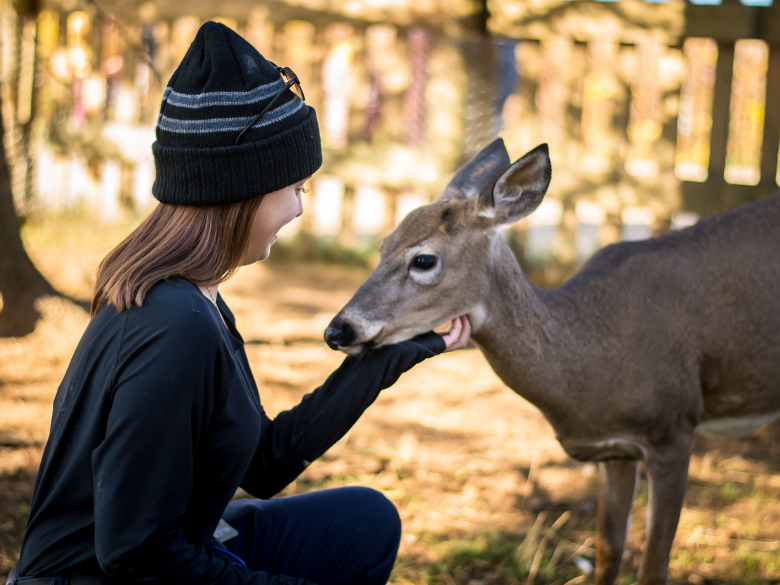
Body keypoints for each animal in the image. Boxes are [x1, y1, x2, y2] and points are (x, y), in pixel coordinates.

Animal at [320, 138, 780, 584]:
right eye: (383, 245)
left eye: (424, 259)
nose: (337, 330)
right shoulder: (616, 450)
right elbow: (608, 550)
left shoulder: (674, 430)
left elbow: (652, 569)